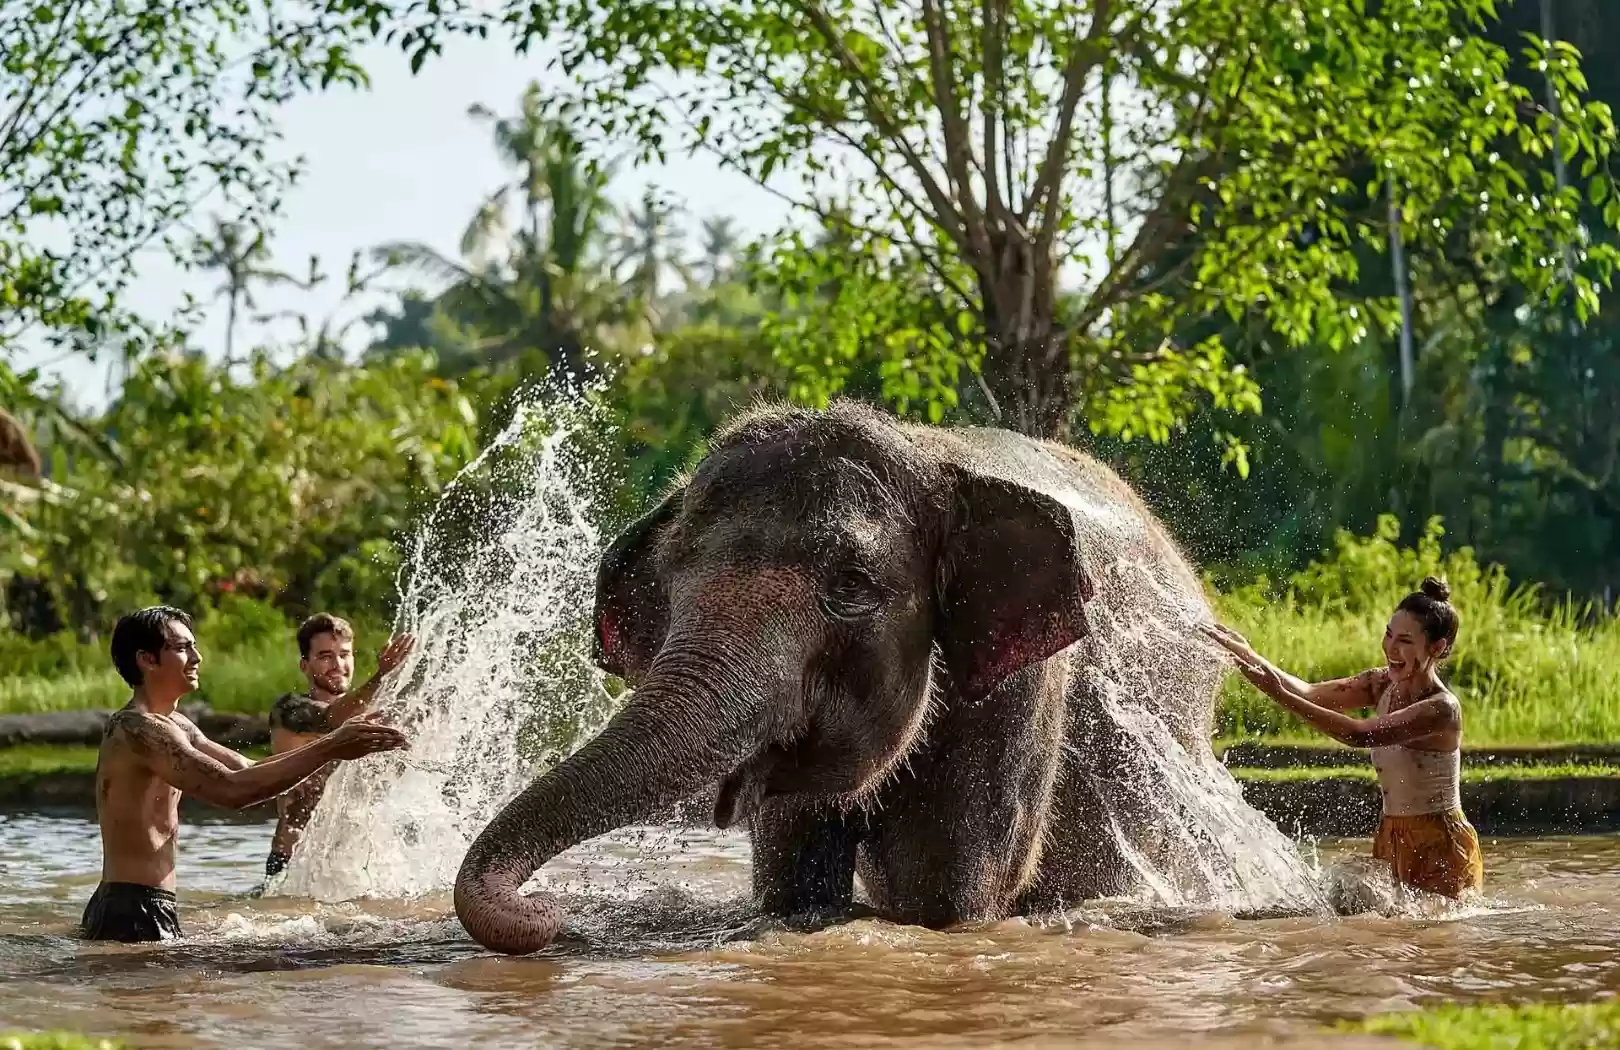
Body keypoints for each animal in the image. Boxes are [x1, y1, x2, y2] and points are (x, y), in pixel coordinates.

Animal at [453, 399, 1229, 955]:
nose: (549, 909)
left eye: (851, 587)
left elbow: (943, 895)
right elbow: (795, 880)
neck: (933, 452)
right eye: (668, 578)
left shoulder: (1024, 691)